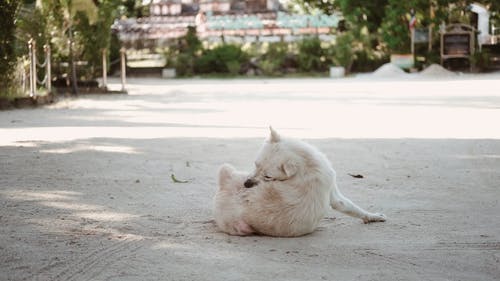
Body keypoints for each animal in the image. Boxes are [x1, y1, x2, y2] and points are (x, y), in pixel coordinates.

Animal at [213, 127, 384, 236]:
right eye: (256, 164)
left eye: (268, 177)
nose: (246, 184)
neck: (305, 165)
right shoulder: (334, 194)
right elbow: (352, 207)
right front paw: (373, 217)